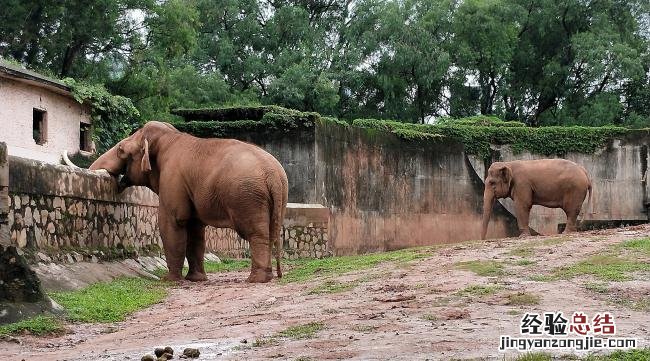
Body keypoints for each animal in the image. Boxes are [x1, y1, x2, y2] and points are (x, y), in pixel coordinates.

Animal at [87, 122, 288, 282]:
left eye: (121, 150)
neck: (170, 136)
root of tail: (273, 174)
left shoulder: (172, 177)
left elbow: (172, 222)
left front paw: (169, 280)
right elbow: (195, 230)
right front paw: (196, 279)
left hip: (247, 197)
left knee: (256, 233)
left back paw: (256, 280)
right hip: (274, 200)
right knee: (270, 232)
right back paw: (267, 276)